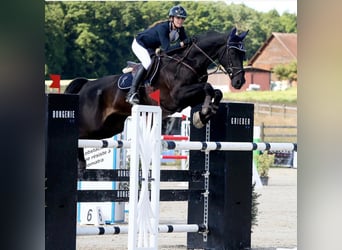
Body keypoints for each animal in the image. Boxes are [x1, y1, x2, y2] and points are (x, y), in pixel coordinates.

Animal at [65, 26, 248, 169]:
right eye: (233, 52)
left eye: (243, 54)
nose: (239, 82)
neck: (189, 62)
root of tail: (86, 85)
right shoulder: (177, 96)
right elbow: (208, 87)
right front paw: (203, 113)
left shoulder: (188, 98)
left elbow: (216, 92)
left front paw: (203, 115)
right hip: (93, 124)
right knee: (79, 135)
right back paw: (80, 165)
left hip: (109, 127)